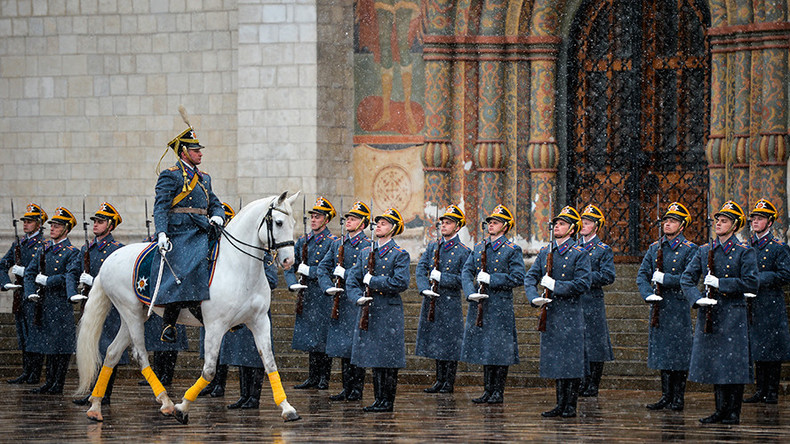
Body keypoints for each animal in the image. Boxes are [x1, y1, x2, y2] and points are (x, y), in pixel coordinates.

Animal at [75, 191, 304, 424]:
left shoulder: (259, 321)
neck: (238, 266)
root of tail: (108, 261)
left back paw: (95, 405)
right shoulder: (214, 327)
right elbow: (209, 371)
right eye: (278, 222)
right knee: (140, 355)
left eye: (294, 223)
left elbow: (270, 363)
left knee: (112, 352)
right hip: (131, 313)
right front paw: (182, 406)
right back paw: (166, 401)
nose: (289, 260)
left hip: (135, 315)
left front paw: (287, 407)